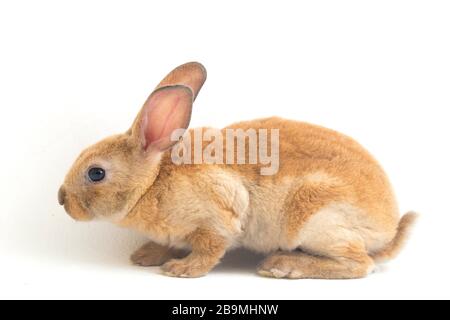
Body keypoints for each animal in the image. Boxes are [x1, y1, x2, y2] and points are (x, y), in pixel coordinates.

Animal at [58, 62, 416, 278]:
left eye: (96, 173)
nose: (62, 199)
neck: (152, 182)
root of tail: (388, 229)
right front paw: (146, 256)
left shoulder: (219, 215)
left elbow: (211, 247)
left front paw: (181, 270)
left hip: (318, 219)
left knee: (360, 264)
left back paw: (282, 266)